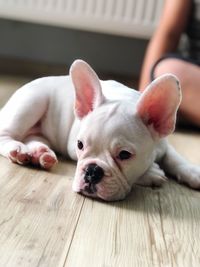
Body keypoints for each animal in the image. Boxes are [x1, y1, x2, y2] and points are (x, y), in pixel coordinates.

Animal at [0, 59, 200, 201]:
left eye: (125, 154)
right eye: (80, 145)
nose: (92, 171)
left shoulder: (163, 144)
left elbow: (174, 158)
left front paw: (192, 172)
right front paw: (151, 173)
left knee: (33, 137)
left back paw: (40, 154)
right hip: (32, 102)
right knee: (7, 134)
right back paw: (18, 151)